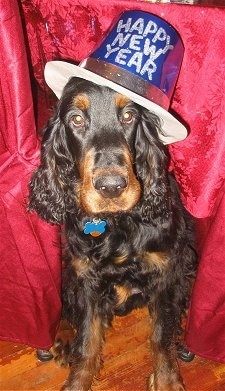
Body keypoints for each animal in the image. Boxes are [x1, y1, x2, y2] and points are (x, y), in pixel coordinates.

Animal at [29, 77, 196, 391]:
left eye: (128, 116)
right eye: (77, 119)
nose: (111, 187)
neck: (116, 223)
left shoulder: (166, 273)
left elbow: (161, 335)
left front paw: (167, 380)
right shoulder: (86, 277)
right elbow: (87, 342)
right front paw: (77, 382)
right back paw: (63, 337)